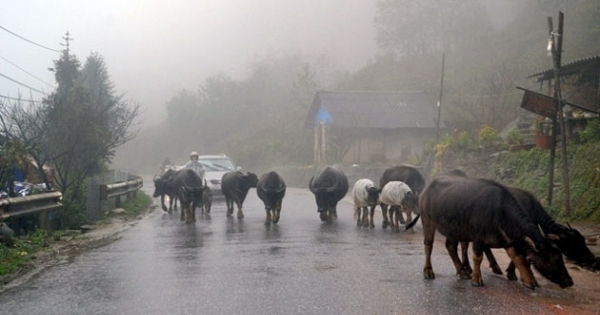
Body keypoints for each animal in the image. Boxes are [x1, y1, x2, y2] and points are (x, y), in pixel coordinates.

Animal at [420, 177, 576, 290]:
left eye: (561, 257)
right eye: (554, 260)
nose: (569, 281)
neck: (499, 211)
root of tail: (427, 188)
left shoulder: (510, 240)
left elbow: (519, 258)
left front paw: (529, 281)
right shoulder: (477, 238)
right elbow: (478, 257)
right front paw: (477, 279)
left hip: (454, 230)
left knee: (450, 247)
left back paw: (463, 272)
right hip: (427, 220)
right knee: (428, 245)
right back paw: (428, 271)